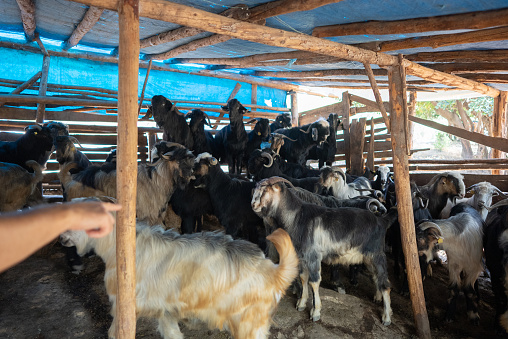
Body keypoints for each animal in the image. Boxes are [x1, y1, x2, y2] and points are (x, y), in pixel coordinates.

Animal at [58, 142, 194, 227]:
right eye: (179, 160)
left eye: (189, 160)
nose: (191, 174)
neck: (155, 180)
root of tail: (68, 179)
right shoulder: (147, 215)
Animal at [60, 199, 300, 339]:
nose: (61, 238)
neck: (118, 246)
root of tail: (272, 269)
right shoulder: (165, 309)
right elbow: (171, 332)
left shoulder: (124, 304)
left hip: (249, 323)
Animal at [252, 177, 398, 326]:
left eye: (266, 190)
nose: (253, 205)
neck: (297, 217)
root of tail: (382, 221)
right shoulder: (302, 257)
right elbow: (303, 278)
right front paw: (301, 304)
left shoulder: (313, 256)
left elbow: (314, 282)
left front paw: (315, 312)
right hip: (368, 258)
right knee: (377, 277)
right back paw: (378, 298)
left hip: (377, 254)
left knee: (385, 284)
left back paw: (386, 317)